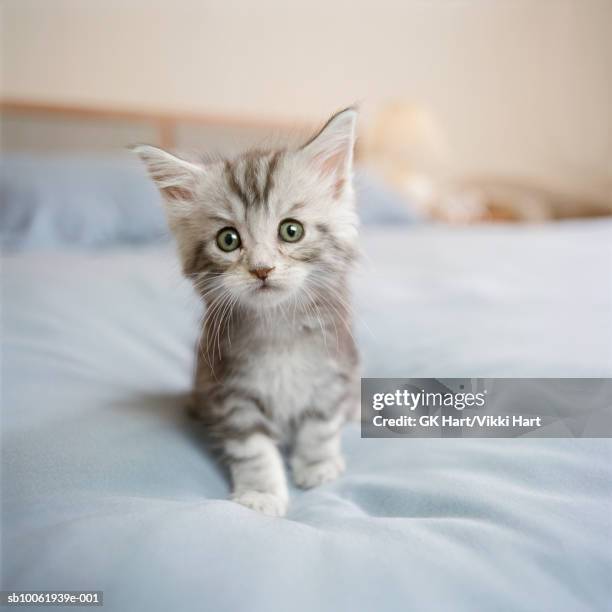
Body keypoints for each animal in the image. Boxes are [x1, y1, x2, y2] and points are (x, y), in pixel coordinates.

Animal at [135, 109, 358, 516]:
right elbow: (253, 449)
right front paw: (261, 494)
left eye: (291, 231)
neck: (278, 329)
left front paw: (318, 465)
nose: (262, 269)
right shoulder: (229, 389)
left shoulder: (333, 369)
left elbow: (320, 426)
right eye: (228, 239)